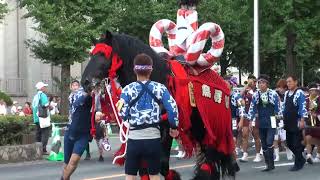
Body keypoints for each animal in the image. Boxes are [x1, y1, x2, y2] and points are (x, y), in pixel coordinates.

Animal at [80, 30, 235, 179]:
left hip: (211, 127)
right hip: (197, 127)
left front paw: (174, 175)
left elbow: (162, 165)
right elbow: (143, 168)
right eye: (91, 54)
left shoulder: (166, 128)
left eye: (103, 54)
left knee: (210, 156)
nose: (85, 82)